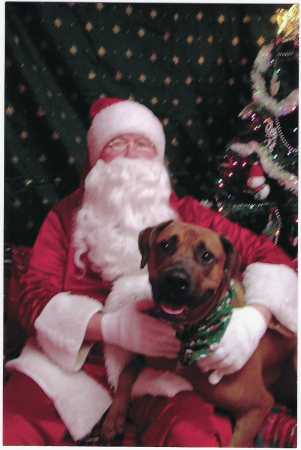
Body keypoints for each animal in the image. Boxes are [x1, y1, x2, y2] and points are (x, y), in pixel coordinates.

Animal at [101, 220, 296, 444]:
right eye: (166, 246)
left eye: (207, 256)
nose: (176, 280)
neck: (189, 336)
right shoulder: (152, 355)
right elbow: (127, 370)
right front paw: (115, 417)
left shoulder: (258, 405)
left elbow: (238, 442)